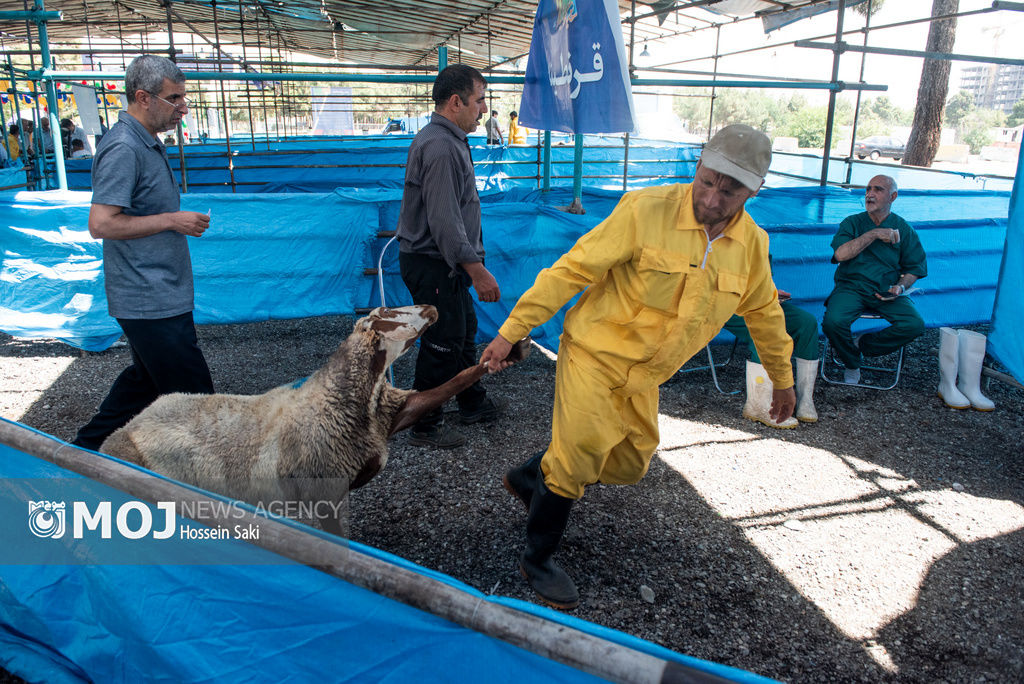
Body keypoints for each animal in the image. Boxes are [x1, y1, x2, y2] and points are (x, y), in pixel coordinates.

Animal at [99, 305, 532, 532]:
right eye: (392, 315)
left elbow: (446, 385)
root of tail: (124, 429)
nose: (430, 307)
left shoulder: (392, 412)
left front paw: (509, 353)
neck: (343, 401)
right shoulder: (320, 496)